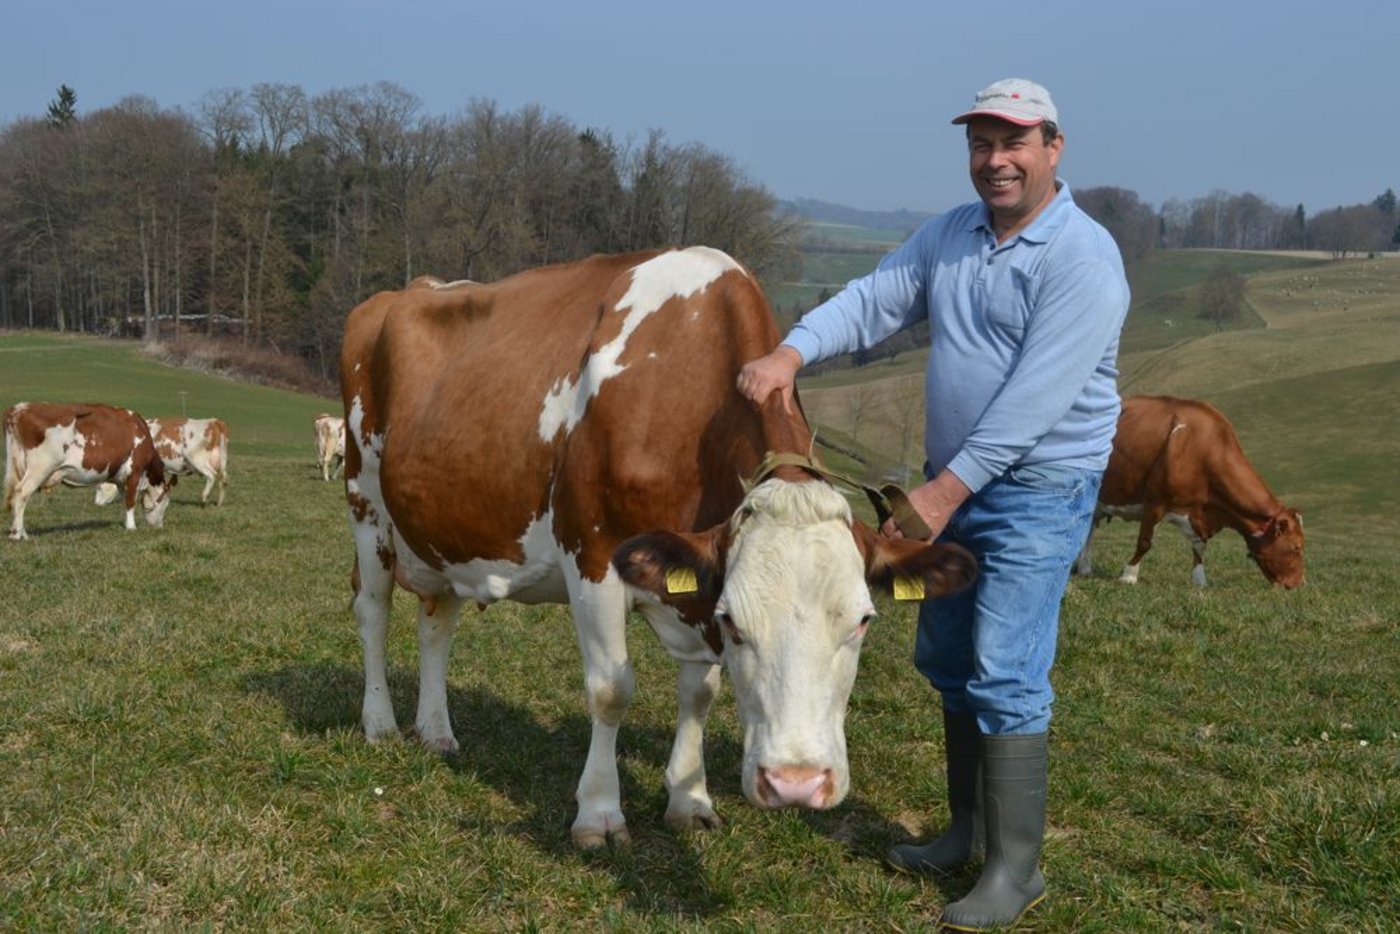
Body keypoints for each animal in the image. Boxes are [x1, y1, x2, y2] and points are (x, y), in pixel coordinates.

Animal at [4, 402, 174, 540]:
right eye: (166, 504)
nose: (159, 526)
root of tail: (20, 408)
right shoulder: (135, 471)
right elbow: (130, 501)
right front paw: (132, 528)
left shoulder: (120, 479)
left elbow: (124, 500)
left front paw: (126, 524)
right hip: (40, 467)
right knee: (22, 492)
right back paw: (17, 534)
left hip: (19, 465)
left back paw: (21, 532)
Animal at [96, 416, 230, 507]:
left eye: (99, 487)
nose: (96, 503)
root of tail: (213, 421)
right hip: (222, 462)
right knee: (223, 480)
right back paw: (220, 502)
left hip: (197, 460)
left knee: (211, 476)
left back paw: (204, 499)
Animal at [339, 248, 978, 847]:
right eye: (736, 621)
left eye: (864, 621)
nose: (795, 783)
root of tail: (408, 290)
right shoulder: (592, 555)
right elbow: (611, 689)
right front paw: (599, 813)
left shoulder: (694, 582)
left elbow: (700, 692)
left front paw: (690, 802)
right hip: (365, 503)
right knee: (373, 613)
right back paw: (381, 725)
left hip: (438, 531)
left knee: (436, 620)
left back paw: (436, 731)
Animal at [1074, 395, 1304, 588]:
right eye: (1297, 547)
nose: (1300, 583)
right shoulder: (1155, 502)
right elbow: (1145, 542)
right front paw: (1129, 575)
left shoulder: (1197, 512)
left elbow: (1199, 549)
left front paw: (1200, 581)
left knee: (1088, 530)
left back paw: (1084, 567)